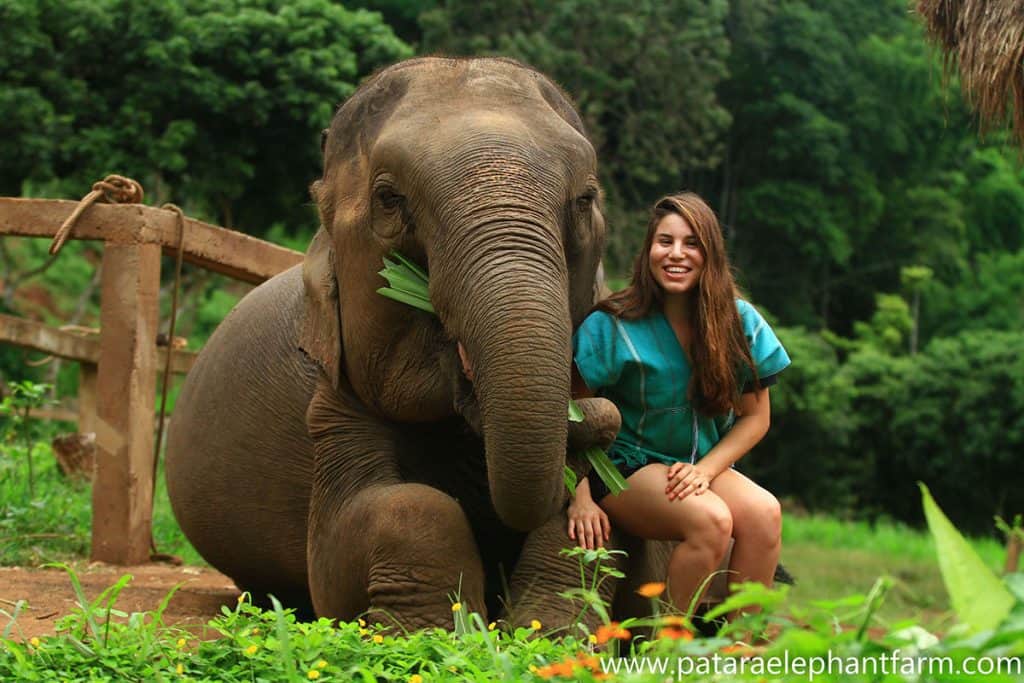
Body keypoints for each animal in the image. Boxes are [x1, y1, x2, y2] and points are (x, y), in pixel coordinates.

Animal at [164, 58, 663, 630]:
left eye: (585, 199)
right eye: (389, 198)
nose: (599, 418)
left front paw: (548, 630)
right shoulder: (335, 401)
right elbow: (377, 525)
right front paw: (434, 629)